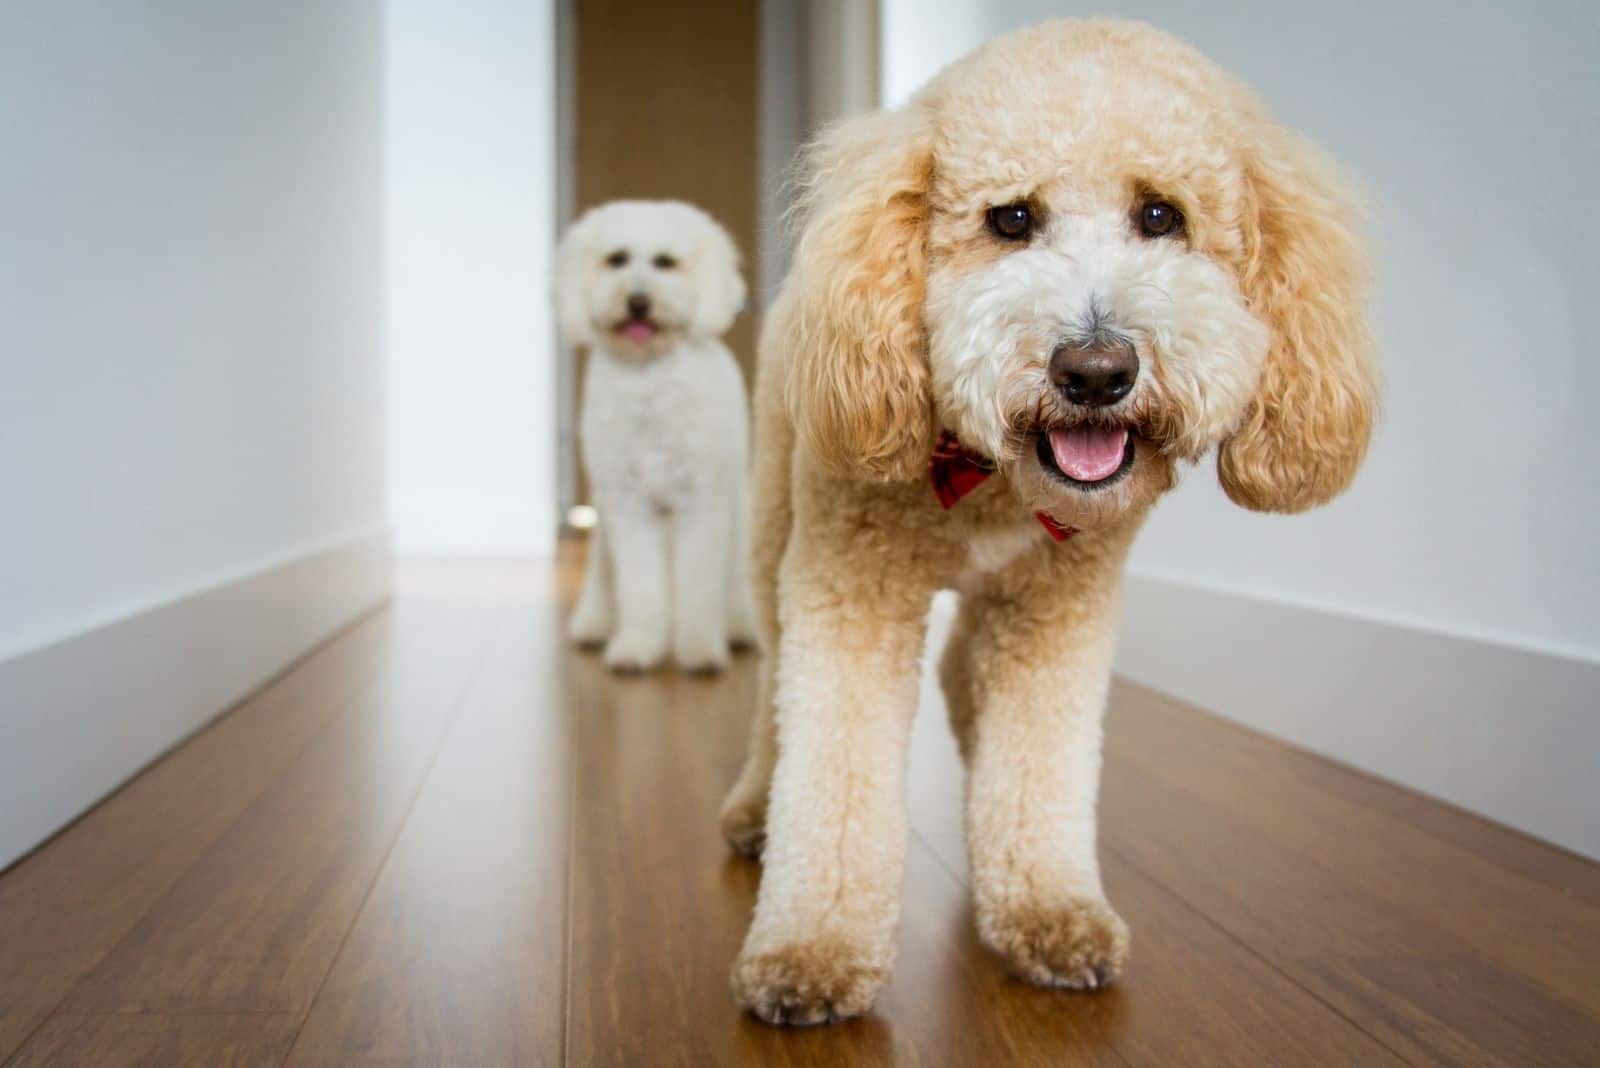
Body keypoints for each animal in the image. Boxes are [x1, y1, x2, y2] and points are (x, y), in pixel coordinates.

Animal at [556, 199, 755, 671]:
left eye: (666, 261)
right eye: (616, 259)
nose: (638, 301)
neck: (649, 376)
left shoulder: (702, 502)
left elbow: (700, 586)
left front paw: (700, 649)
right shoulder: (628, 507)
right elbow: (640, 587)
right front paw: (637, 646)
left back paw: (738, 627)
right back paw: (594, 624)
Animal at [723, 18, 1376, 1023]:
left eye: (1162, 217)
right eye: (1012, 220)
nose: (1096, 370)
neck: (994, 479)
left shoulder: (1056, 612)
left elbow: (1040, 772)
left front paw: (1046, 909)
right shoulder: (850, 590)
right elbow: (833, 782)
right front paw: (812, 949)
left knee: (962, 670)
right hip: (773, 539)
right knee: (773, 698)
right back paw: (757, 805)